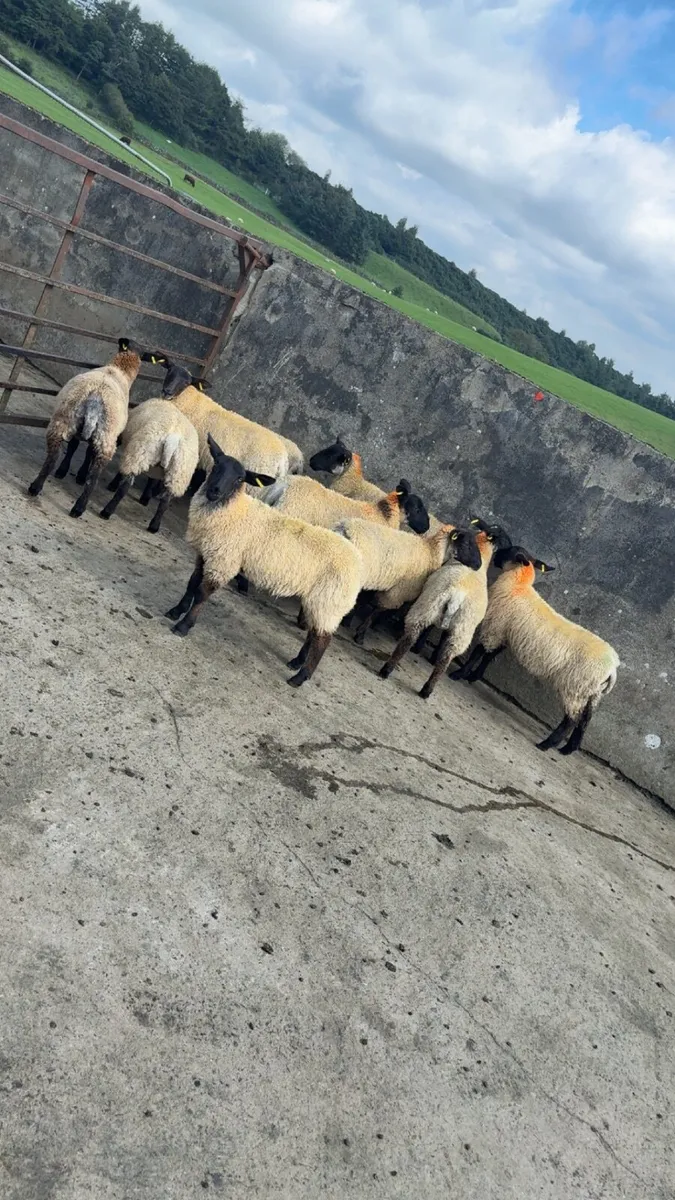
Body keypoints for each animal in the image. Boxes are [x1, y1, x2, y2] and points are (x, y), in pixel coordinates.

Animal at [28, 337, 143, 518]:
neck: (118, 369)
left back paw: (36, 487)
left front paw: (65, 471)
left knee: (53, 458)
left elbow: (75, 447)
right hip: (105, 436)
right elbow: (85, 452)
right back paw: (79, 508)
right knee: (94, 476)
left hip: (65, 421)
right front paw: (77, 474)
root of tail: (95, 397)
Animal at [99, 398, 199, 532]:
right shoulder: (155, 469)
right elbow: (152, 481)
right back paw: (154, 526)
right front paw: (146, 497)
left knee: (124, 487)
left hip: (138, 454)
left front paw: (113, 485)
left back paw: (107, 512)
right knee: (165, 502)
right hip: (178, 474)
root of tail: (173, 439)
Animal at [165, 434, 364, 687]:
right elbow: (192, 583)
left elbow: (201, 593)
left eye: (240, 478)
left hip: (330, 600)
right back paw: (297, 662)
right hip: (320, 599)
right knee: (314, 633)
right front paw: (175, 611)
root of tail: (357, 562)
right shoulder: (207, 551)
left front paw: (183, 625)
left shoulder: (224, 560)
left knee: (323, 640)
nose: (214, 491)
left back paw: (299, 678)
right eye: (216, 465)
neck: (233, 510)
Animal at [379, 527, 496, 698]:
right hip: (460, 629)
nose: (477, 564)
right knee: (445, 659)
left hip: (429, 607)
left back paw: (388, 670)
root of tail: (457, 596)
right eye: (467, 544)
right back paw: (427, 689)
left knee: (410, 639)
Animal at [451, 545, 620, 755]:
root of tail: (612, 668)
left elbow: (479, 652)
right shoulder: (505, 632)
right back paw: (568, 749)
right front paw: (474, 676)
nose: (495, 557)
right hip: (591, 693)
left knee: (571, 720)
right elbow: (489, 656)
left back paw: (546, 744)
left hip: (575, 687)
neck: (518, 585)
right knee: (585, 720)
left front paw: (459, 674)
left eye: (509, 551)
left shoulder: (495, 627)